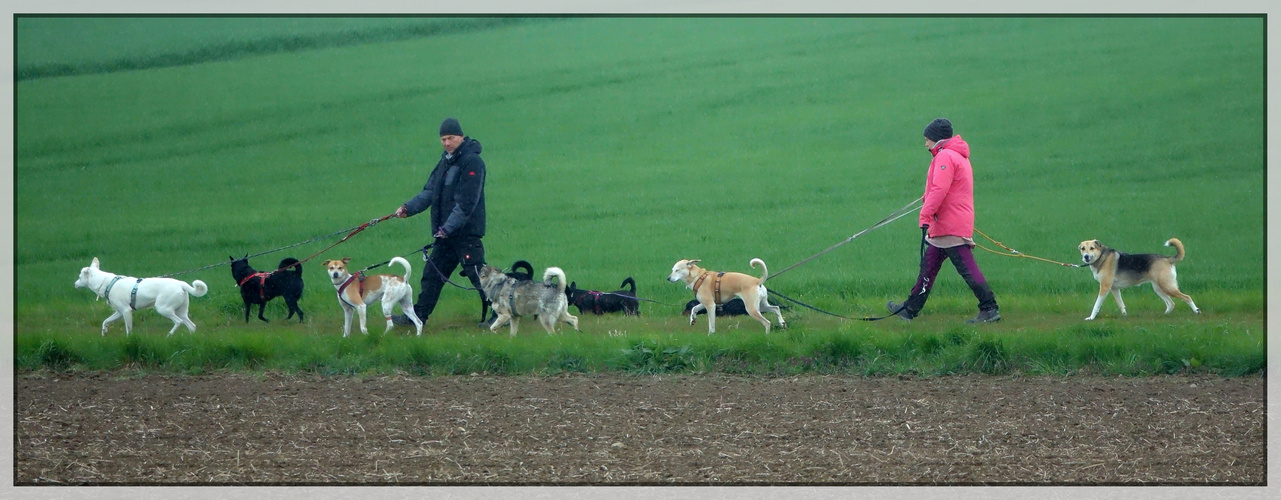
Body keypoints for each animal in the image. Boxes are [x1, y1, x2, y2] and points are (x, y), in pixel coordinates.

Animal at [73, 257, 207, 335]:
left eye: (79, 277)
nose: (75, 284)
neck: (108, 283)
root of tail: (181, 284)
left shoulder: (126, 311)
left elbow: (128, 330)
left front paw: (129, 341)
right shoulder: (119, 312)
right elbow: (105, 321)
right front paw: (104, 331)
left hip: (163, 309)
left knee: (178, 322)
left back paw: (170, 335)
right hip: (181, 311)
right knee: (192, 326)